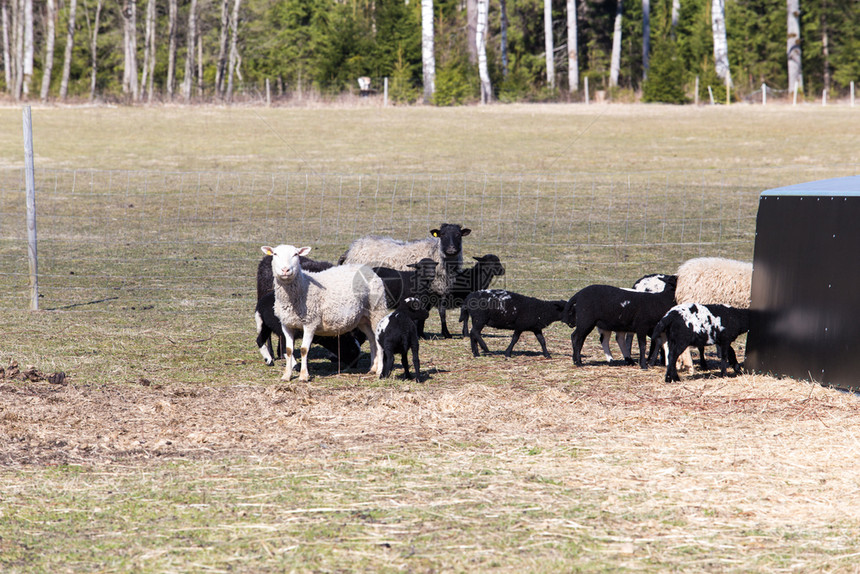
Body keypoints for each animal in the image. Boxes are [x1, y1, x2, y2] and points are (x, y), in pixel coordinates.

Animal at [258, 244, 386, 382]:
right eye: (275, 254)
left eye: (296, 254)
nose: (285, 270)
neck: (302, 287)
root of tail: (368, 269)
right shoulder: (286, 324)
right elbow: (288, 350)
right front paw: (286, 376)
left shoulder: (310, 322)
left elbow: (304, 350)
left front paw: (303, 376)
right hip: (363, 318)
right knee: (372, 339)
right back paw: (372, 368)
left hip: (377, 310)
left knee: (378, 341)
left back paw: (379, 371)